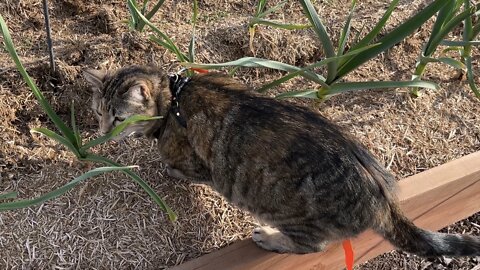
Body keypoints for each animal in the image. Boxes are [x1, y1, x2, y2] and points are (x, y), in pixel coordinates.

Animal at [83, 65, 480, 255]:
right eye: (99, 112)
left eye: (118, 118)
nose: (102, 133)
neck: (173, 99)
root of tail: (381, 198)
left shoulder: (194, 162)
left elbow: (177, 167)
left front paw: (166, 168)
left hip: (287, 211)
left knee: (311, 245)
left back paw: (271, 238)